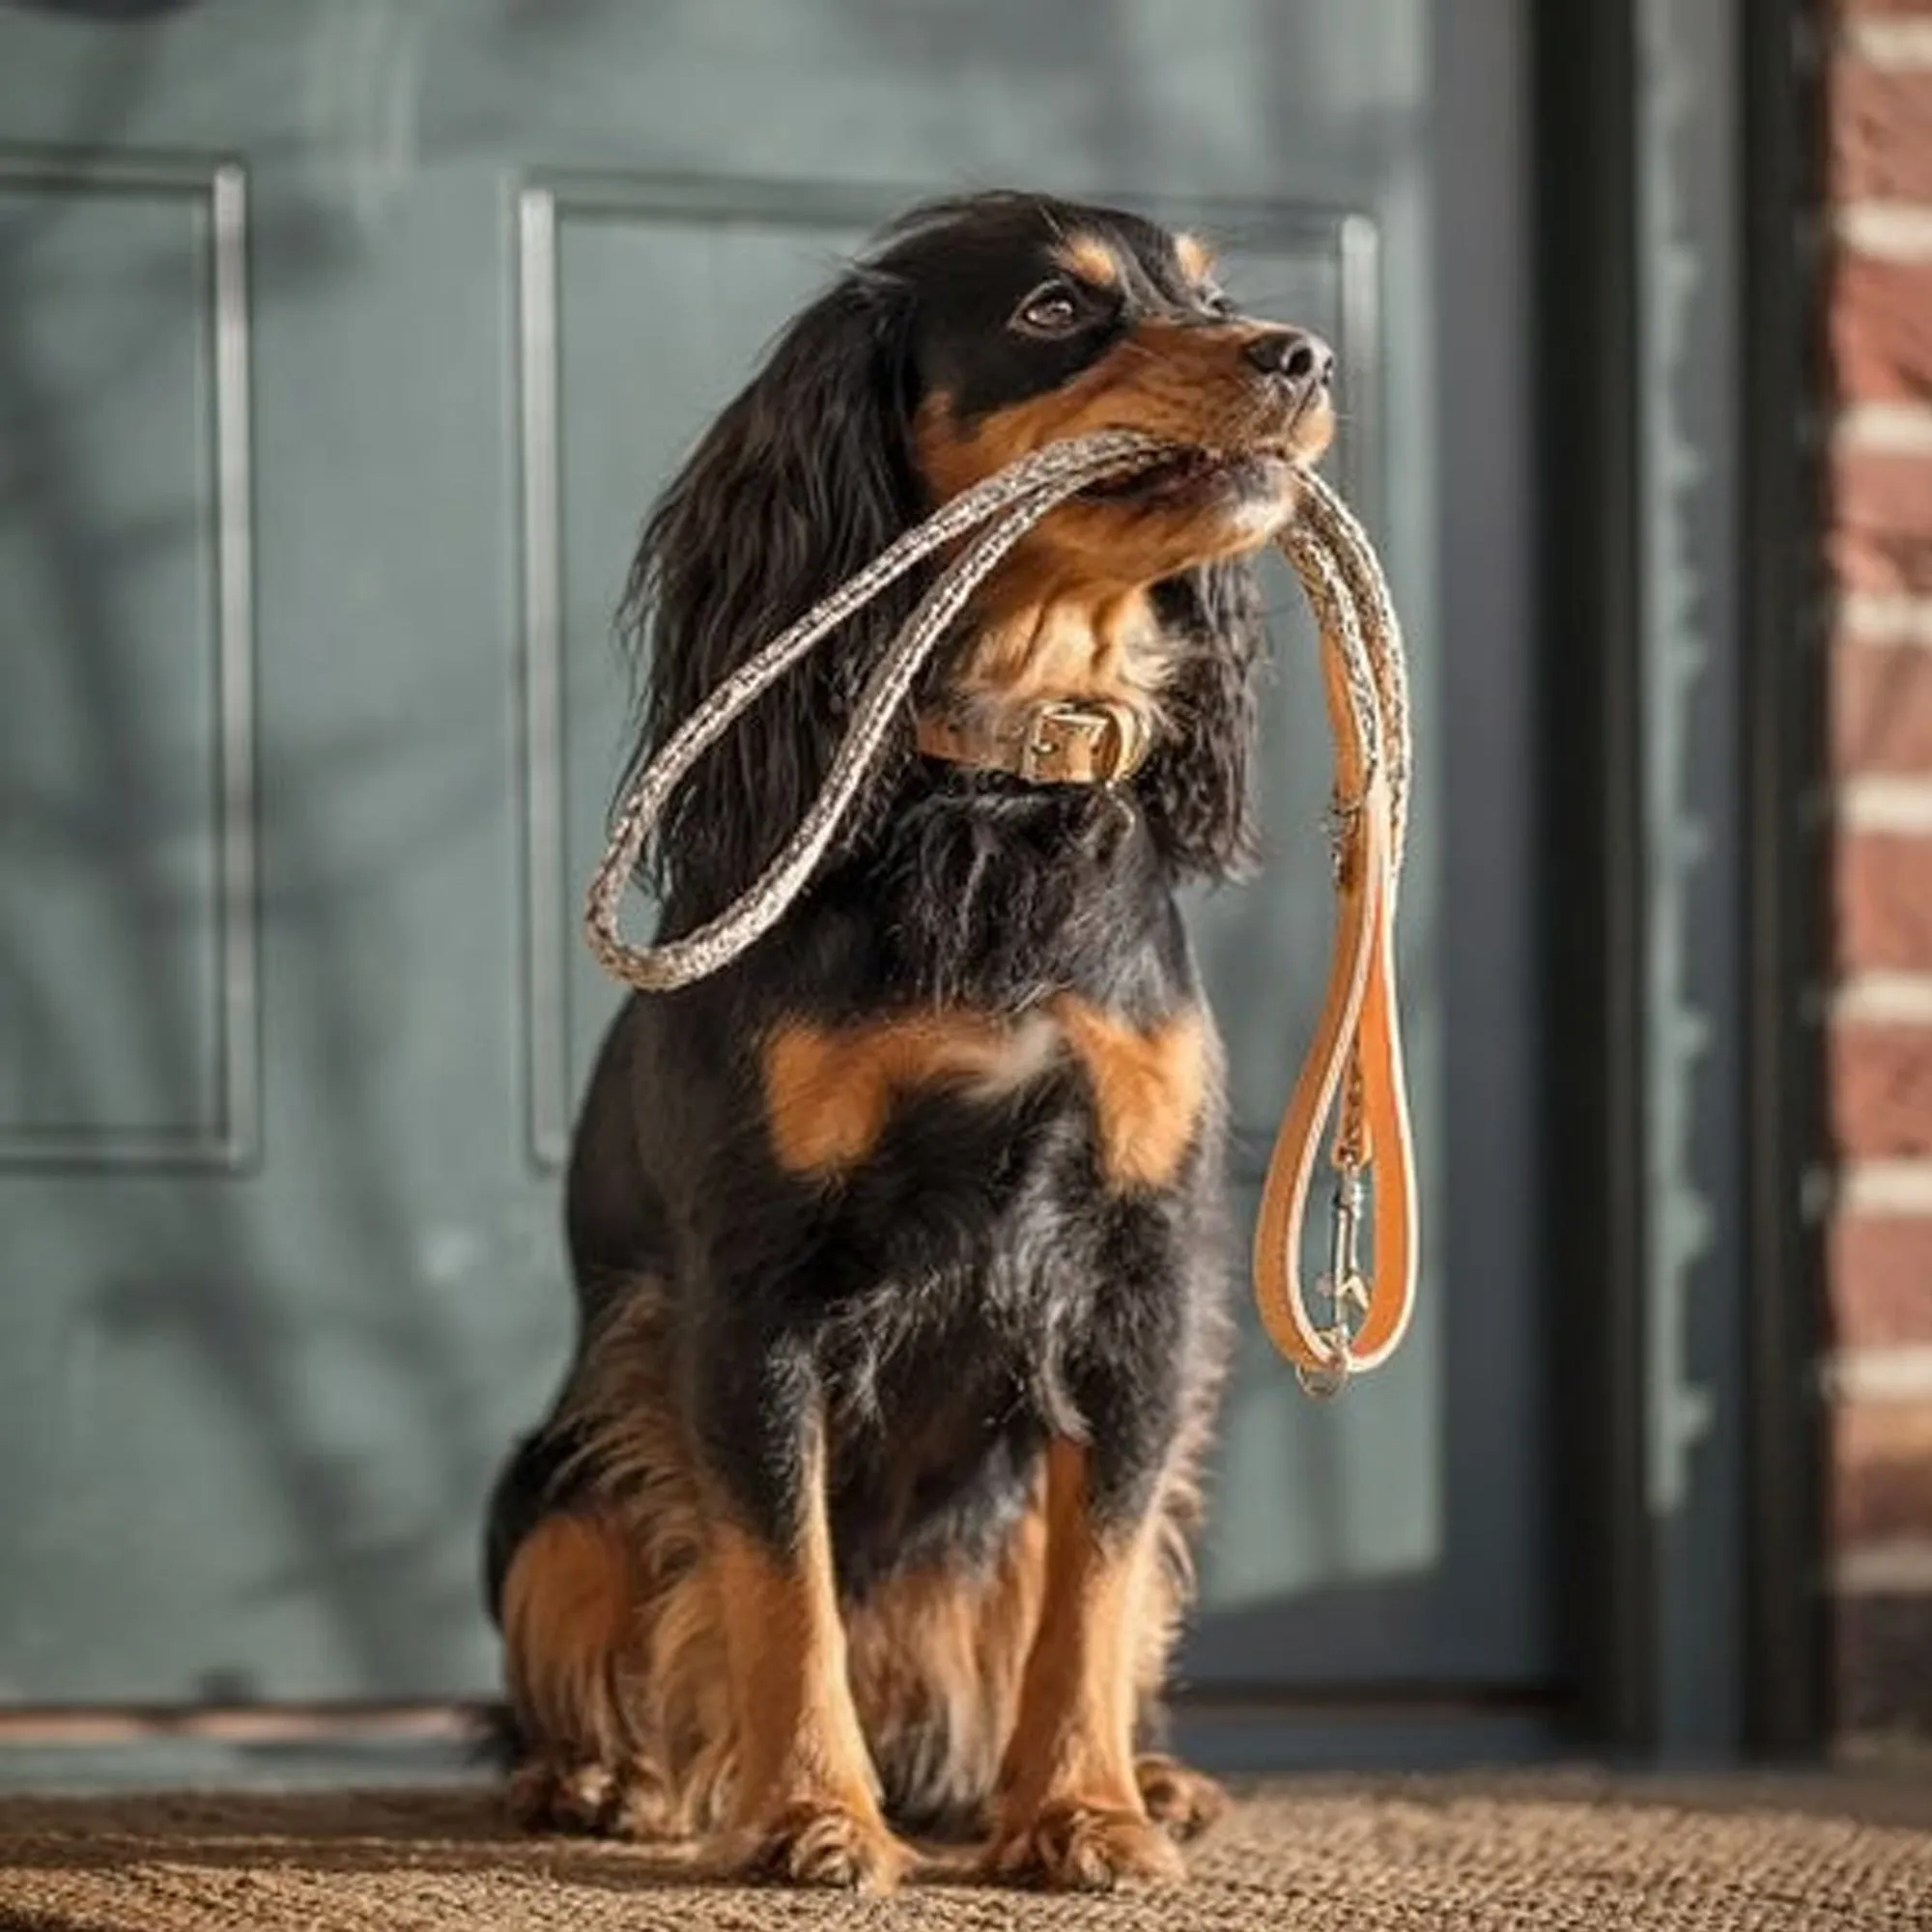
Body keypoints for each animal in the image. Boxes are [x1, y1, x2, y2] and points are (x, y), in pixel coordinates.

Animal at [483, 192, 1329, 1886]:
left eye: (1214, 292)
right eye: (1058, 311)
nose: (1301, 355)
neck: (998, 786)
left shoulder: (1140, 1286)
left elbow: (1094, 1590)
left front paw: (1082, 1813)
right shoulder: (749, 1293)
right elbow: (777, 1583)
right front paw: (816, 1817)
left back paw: (1144, 1776)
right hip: (553, 1480)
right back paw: (612, 1781)